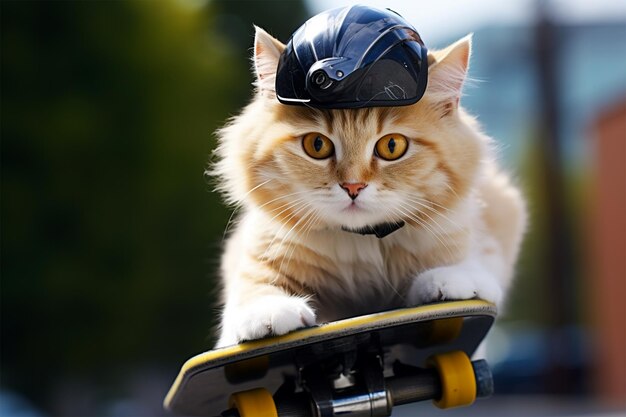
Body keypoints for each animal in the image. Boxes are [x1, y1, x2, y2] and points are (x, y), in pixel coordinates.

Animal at [212, 26, 524, 348]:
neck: (362, 247)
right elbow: (255, 285)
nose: (353, 186)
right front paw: (267, 312)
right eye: (317, 145)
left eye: (392, 146)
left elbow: (468, 263)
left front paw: (451, 279)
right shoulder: (261, 247)